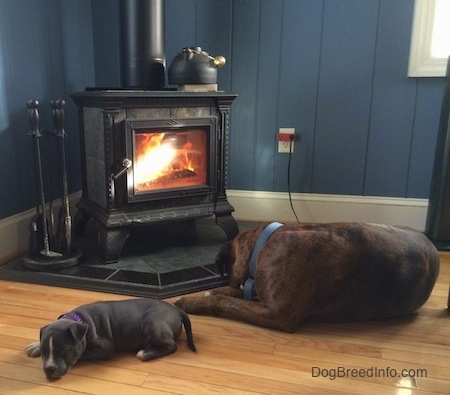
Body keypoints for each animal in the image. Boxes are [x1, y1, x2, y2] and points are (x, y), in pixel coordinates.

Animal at [25, 300, 195, 380]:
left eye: (64, 351)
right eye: (44, 352)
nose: (49, 369)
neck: (80, 320)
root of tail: (177, 310)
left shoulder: (105, 348)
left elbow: (83, 353)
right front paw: (35, 346)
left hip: (152, 321)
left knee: (171, 345)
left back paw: (146, 352)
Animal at [175, 224, 440, 332]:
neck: (265, 241)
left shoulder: (277, 313)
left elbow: (227, 301)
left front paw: (192, 302)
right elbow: (232, 294)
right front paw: (210, 292)